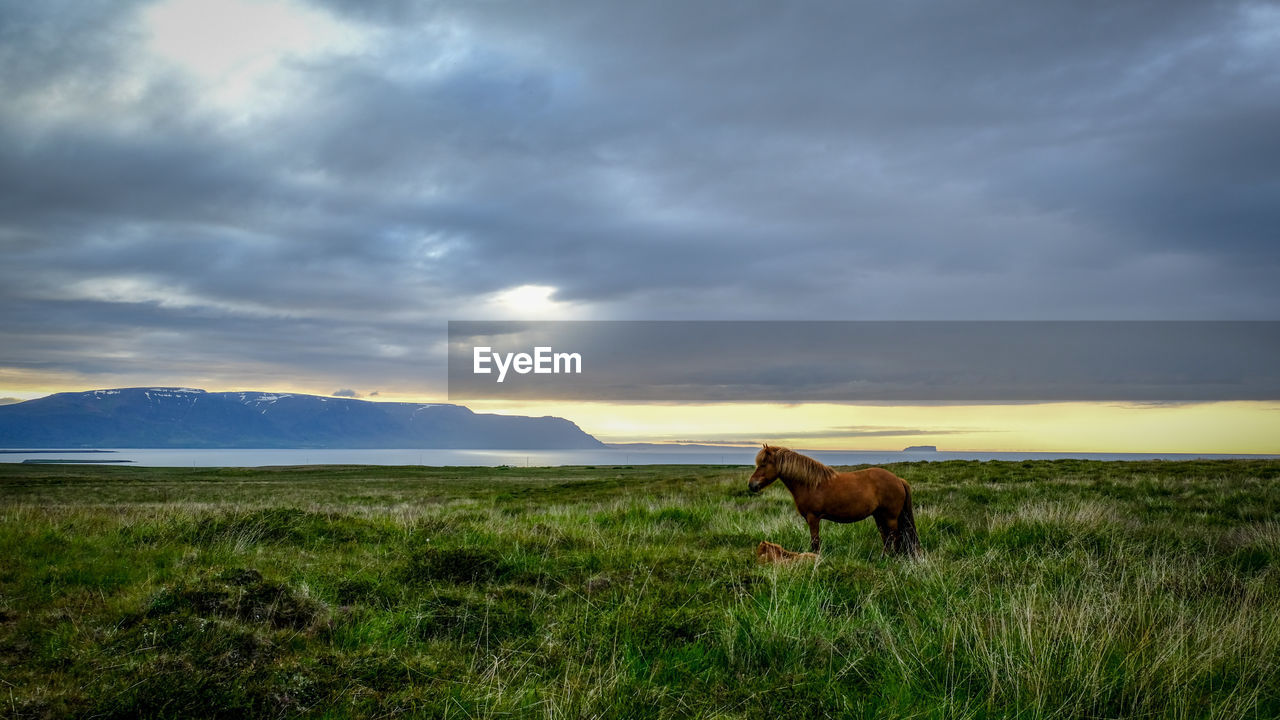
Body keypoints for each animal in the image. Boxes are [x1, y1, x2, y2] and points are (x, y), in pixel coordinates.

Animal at [747, 443, 921, 556]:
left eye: (763, 464)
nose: (751, 485)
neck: (810, 483)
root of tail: (898, 480)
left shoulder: (813, 518)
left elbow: (815, 542)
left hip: (890, 517)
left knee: (895, 537)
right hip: (879, 516)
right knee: (886, 537)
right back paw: (883, 558)